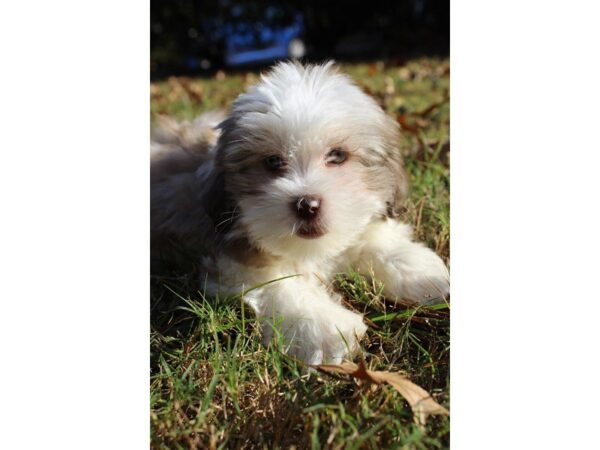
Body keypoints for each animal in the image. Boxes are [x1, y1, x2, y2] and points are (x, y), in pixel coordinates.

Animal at [152, 61, 448, 366]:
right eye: (273, 162)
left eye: (337, 156)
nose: (307, 205)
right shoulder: (231, 260)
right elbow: (277, 284)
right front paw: (328, 328)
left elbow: (369, 236)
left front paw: (419, 271)